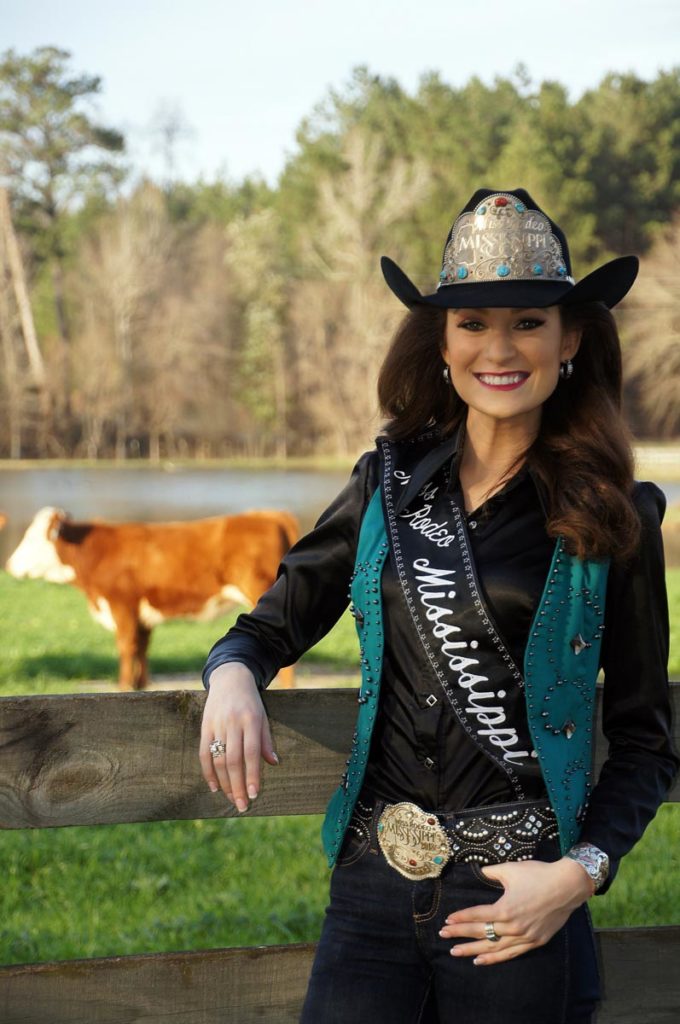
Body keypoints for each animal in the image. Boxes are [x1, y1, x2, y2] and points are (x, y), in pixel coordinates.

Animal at [5, 507, 296, 692]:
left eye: (32, 539)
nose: (8, 565)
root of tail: (270, 514)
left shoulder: (121, 604)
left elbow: (126, 645)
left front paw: (123, 685)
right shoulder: (142, 613)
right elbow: (142, 647)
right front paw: (141, 684)